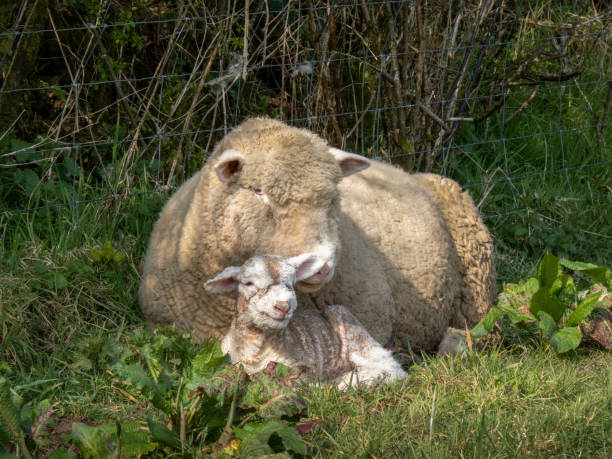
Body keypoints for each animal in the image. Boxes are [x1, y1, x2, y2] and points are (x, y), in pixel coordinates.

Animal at [203, 253, 408, 386]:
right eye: (248, 283)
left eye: (292, 282)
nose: (283, 306)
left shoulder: (301, 365)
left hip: (353, 329)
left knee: (391, 367)